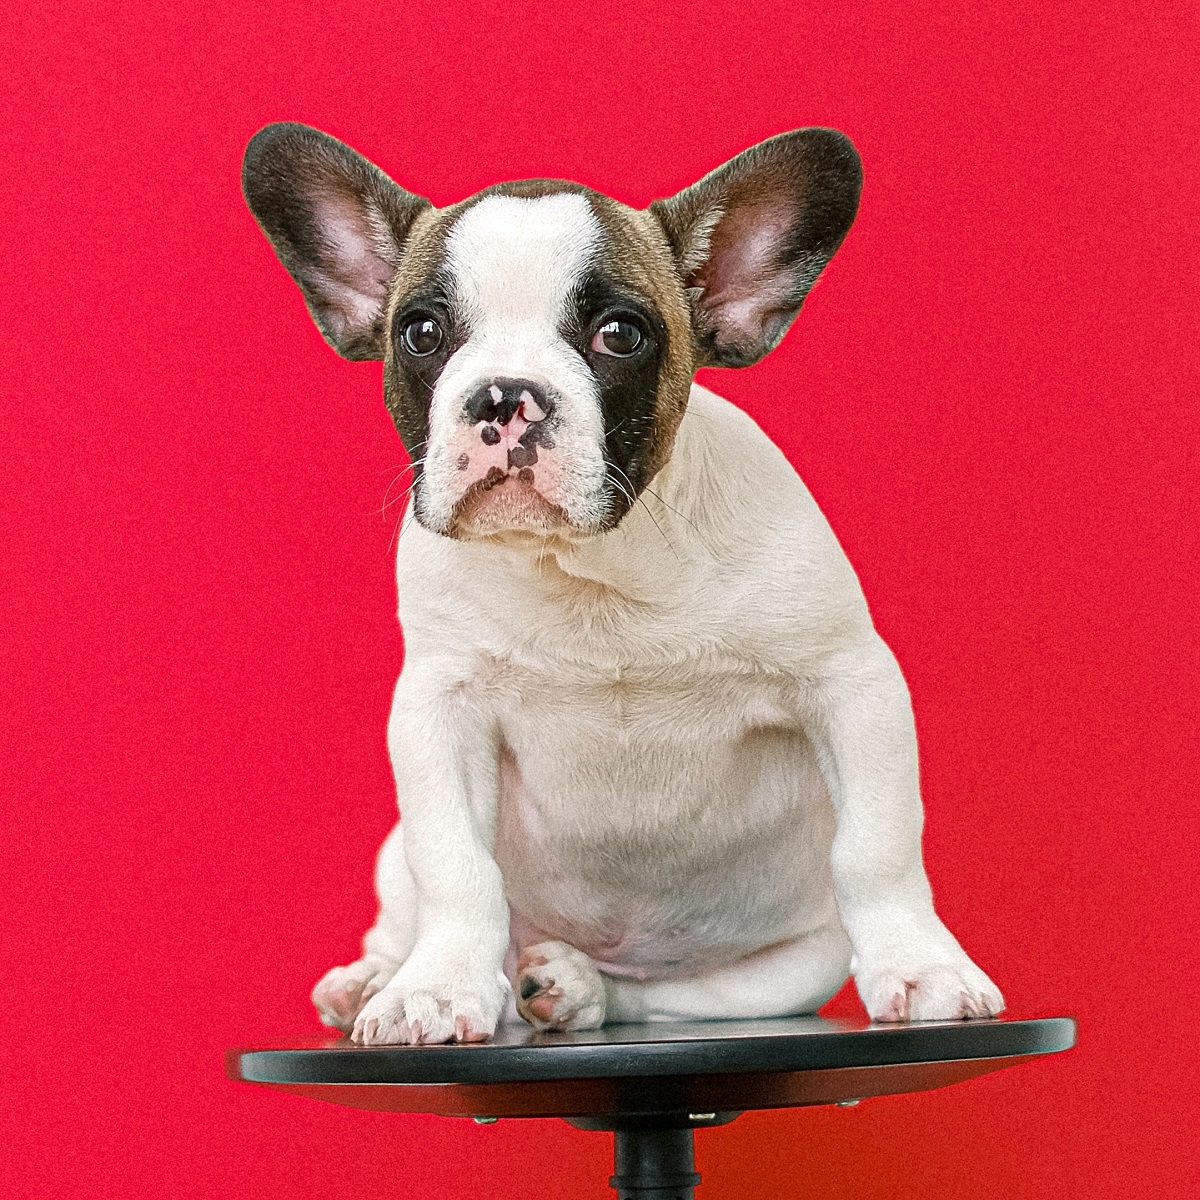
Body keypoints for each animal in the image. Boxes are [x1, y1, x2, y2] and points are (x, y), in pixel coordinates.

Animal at [241, 117, 1003, 1046]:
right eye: (419, 333)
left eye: (620, 335)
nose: (504, 396)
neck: (593, 573)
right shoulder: (437, 712)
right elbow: (454, 866)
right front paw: (434, 988)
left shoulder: (850, 682)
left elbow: (880, 849)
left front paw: (923, 968)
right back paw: (380, 977)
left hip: (781, 973)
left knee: (658, 998)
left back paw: (575, 985)